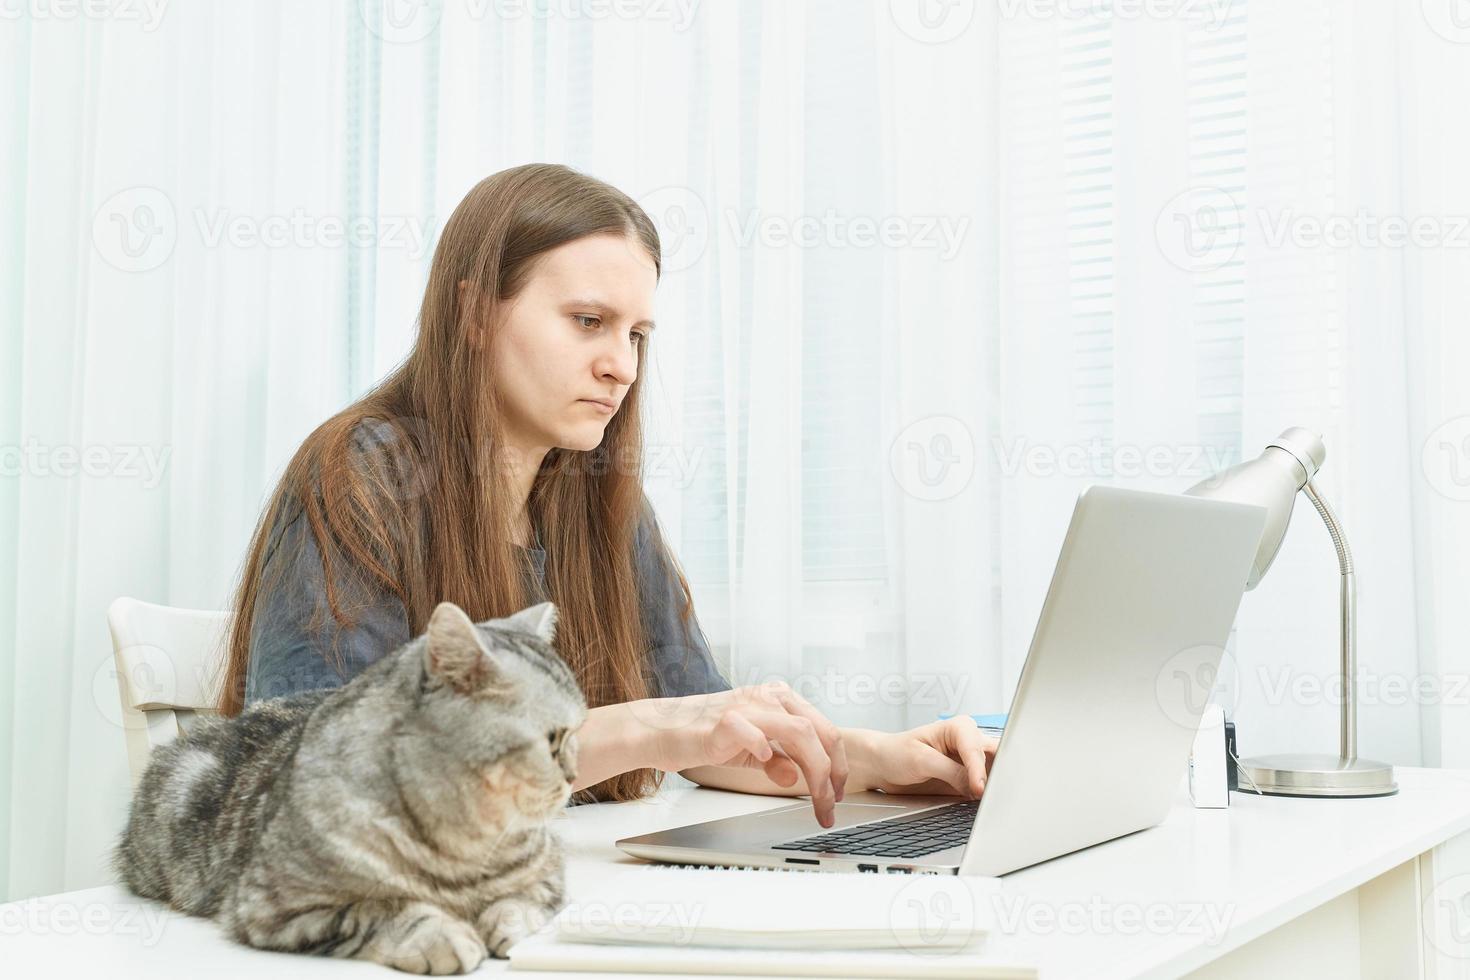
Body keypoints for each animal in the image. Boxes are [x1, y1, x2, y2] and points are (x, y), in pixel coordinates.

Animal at [111, 599, 588, 975]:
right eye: (552, 740)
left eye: (578, 732)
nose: (574, 776)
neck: (460, 847)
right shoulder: (276, 905)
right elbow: (380, 911)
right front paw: (444, 936)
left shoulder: (548, 874)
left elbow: (518, 903)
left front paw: (508, 929)